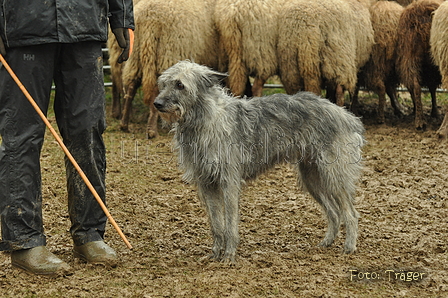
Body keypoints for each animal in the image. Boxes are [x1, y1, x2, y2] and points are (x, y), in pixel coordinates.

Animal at [118, 0, 218, 139]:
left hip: (135, 56)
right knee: (156, 90)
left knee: (131, 88)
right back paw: (152, 131)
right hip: (166, 54)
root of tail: (148, 20)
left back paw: (124, 124)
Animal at [154, 61, 364, 264]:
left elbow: (230, 224)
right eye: (163, 83)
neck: (205, 119)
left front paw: (229, 256)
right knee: (334, 213)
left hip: (333, 176)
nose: (157, 103)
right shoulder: (207, 183)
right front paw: (215, 254)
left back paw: (349, 247)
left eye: (180, 85)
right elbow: (216, 224)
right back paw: (327, 242)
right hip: (312, 178)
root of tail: (346, 115)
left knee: (350, 214)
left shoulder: (229, 182)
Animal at [396, 0, 440, 130]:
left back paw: (420, 120)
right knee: (418, 86)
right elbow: (432, 89)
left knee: (415, 85)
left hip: (410, 56)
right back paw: (422, 119)